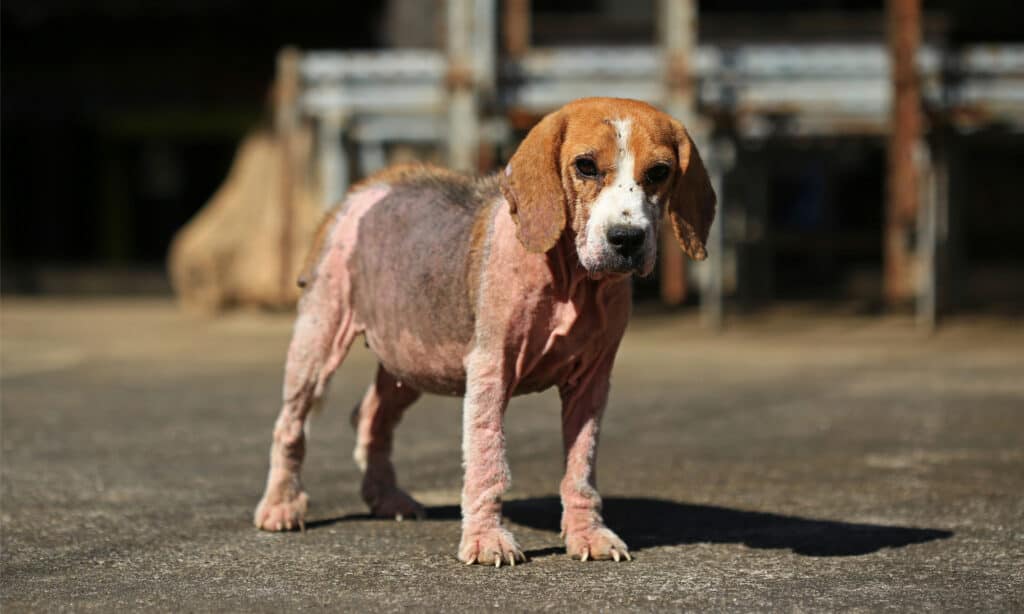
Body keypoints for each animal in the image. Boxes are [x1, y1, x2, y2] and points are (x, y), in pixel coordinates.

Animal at [254, 97, 716, 564]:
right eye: (585, 166)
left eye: (658, 172)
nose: (627, 238)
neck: (572, 279)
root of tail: (369, 185)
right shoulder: (490, 368)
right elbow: (488, 458)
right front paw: (486, 539)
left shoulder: (592, 382)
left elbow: (581, 466)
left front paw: (588, 534)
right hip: (319, 337)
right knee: (289, 426)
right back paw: (281, 506)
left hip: (410, 359)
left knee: (370, 416)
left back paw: (386, 498)